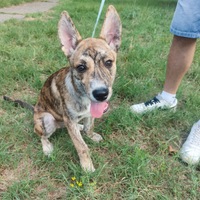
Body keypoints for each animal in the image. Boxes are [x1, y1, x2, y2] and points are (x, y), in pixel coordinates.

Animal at [3, 5, 122, 172]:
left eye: (108, 62)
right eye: (81, 67)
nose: (101, 94)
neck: (82, 96)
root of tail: (34, 110)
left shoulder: (88, 114)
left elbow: (89, 127)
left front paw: (91, 135)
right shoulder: (70, 120)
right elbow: (82, 147)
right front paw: (87, 167)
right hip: (46, 120)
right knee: (41, 135)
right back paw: (47, 148)